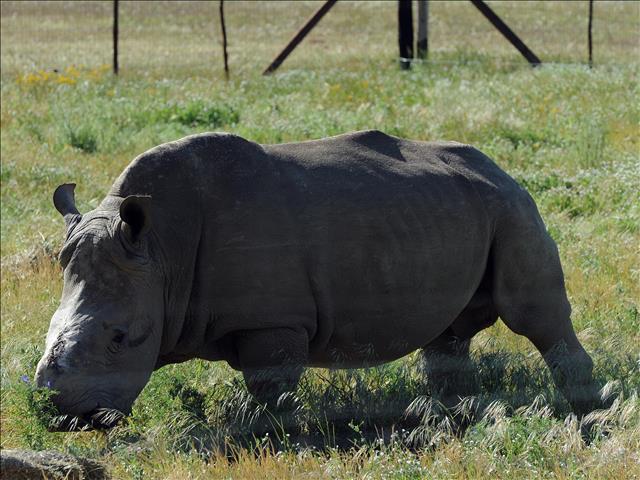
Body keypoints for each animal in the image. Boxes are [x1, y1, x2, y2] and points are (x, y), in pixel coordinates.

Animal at [35, 130, 603, 428]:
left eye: (121, 338)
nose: (62, 413)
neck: (160, 251)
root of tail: (501, 167)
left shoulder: (273, 321)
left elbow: (270, 384)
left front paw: (274, 434)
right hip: (460, 207)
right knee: (448, 333)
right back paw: (447, 415)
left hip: (511, 207)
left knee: (533, 314)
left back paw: (584, 406)